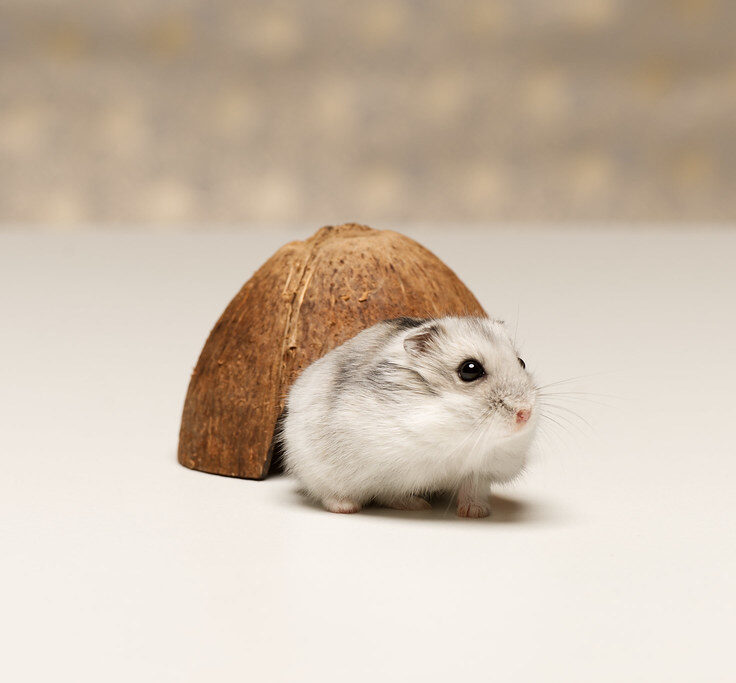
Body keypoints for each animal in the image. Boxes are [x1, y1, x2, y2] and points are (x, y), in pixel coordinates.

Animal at [279, 316, 537, 518]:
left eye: (522, 362)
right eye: (469, 369)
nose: (525, 413)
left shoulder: (480, 470)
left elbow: (473, 490)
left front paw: (475, 513)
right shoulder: (389, 469)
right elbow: (390, 493)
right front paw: (419, 506)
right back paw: (346, 507)